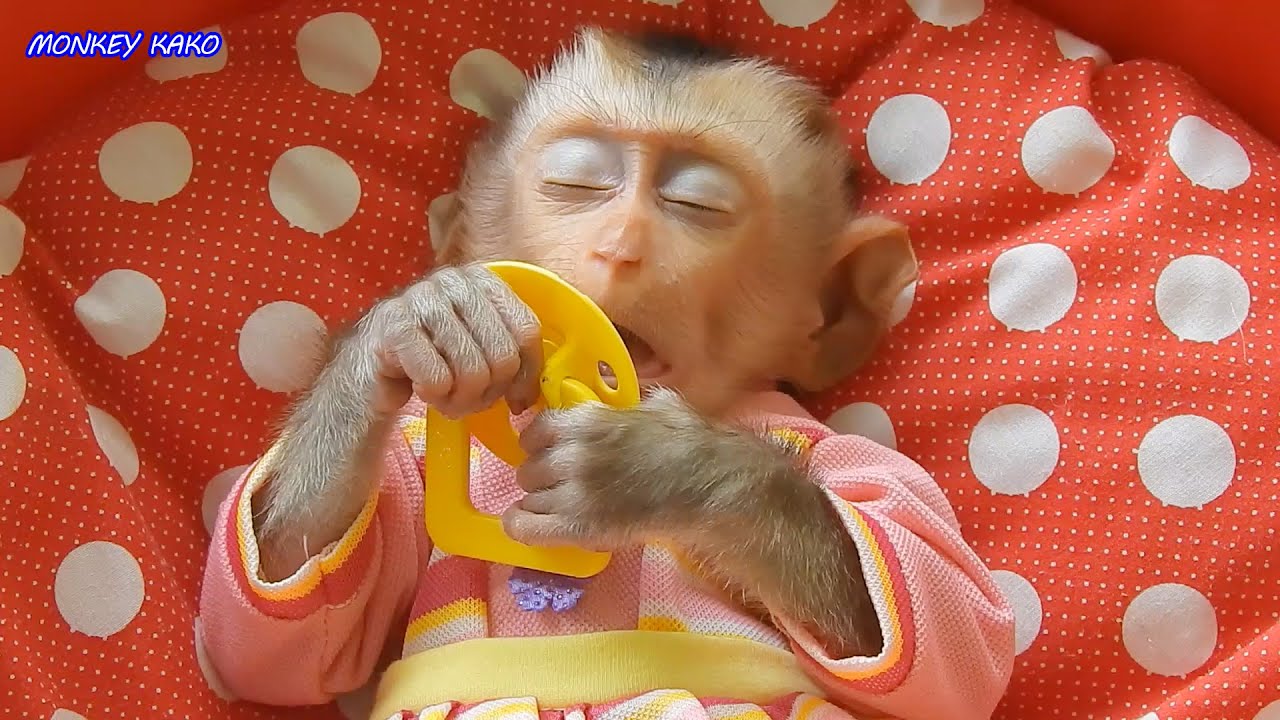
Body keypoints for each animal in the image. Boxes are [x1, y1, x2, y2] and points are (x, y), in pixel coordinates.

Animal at [201, 27, 1015, 720]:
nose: (622, 244)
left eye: (698, 202)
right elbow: (289, 636)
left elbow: (952, 626)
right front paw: (429, 318)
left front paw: (654, 467)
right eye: (579, 183)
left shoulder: (833, 447)